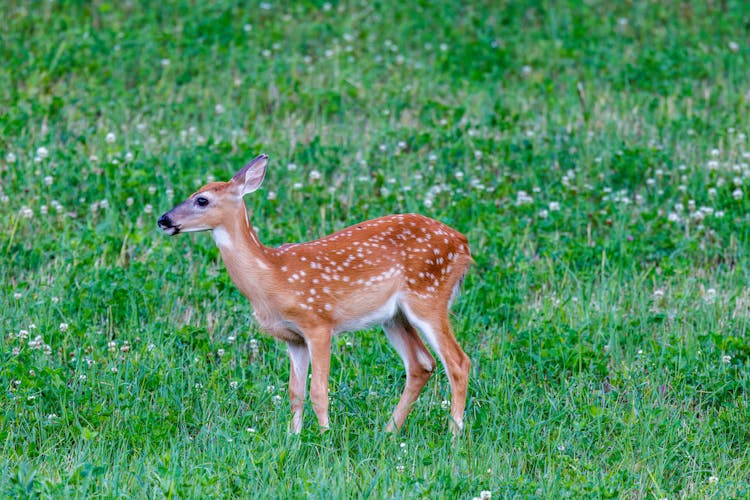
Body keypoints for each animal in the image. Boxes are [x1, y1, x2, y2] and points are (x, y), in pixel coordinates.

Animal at [159, 153, 476, 434]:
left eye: (202, 200)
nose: (164, 220)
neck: (272, 277)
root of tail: (463, 243)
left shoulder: (319, 323)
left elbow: (319, 391)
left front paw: (325, 440)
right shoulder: (293, 337)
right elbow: (295, 392)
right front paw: (294, 439)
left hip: (429, 295)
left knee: (458, 362)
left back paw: (453, 434)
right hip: (394, 316)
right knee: (421, 364)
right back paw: (388, 432)